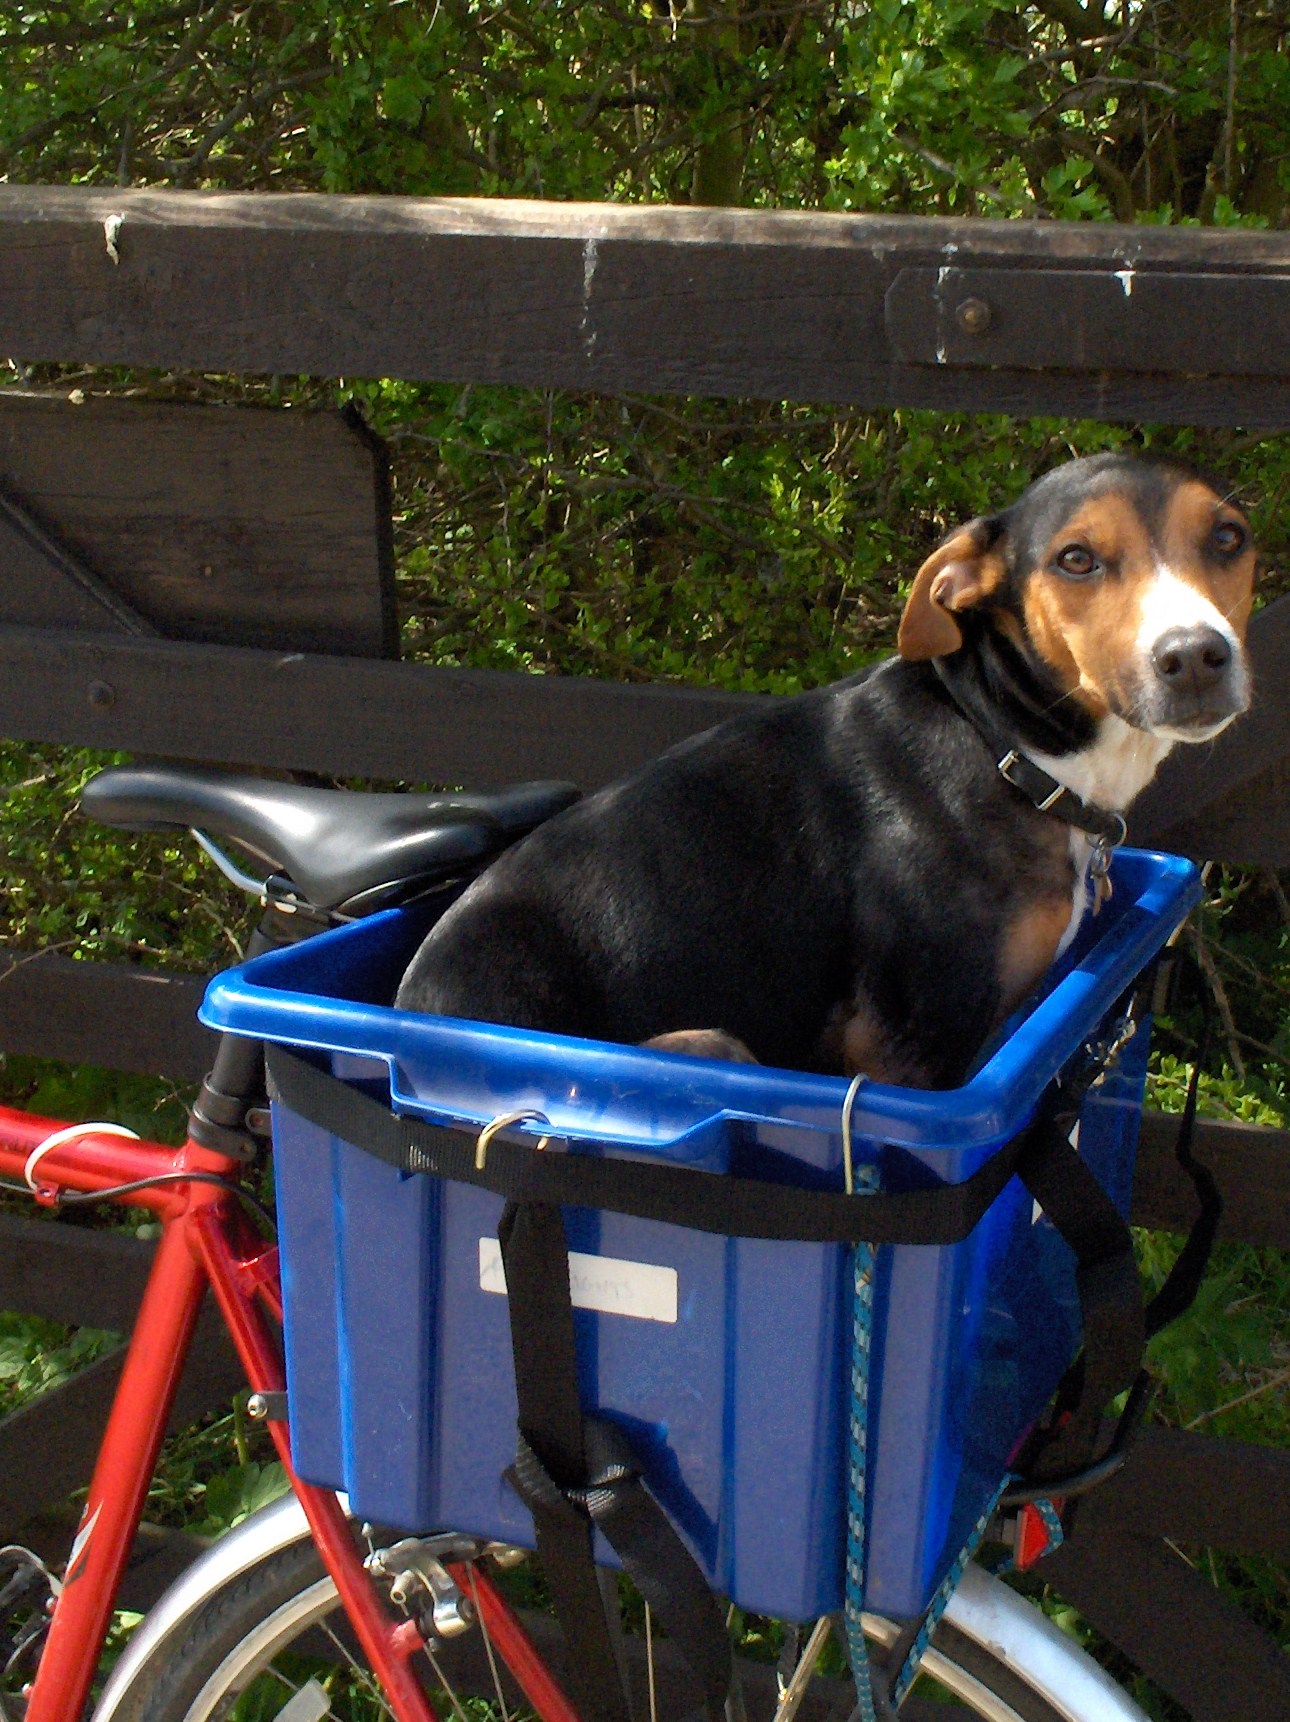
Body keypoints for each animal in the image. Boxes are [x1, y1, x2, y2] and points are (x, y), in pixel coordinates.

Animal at [397, 451, 1253, 1081]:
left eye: (1229, 539)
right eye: (1076, 559)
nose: (1195, 657)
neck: (1004, 747)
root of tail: (407, 1006)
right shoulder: (913, 1044)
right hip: (709, 1043)